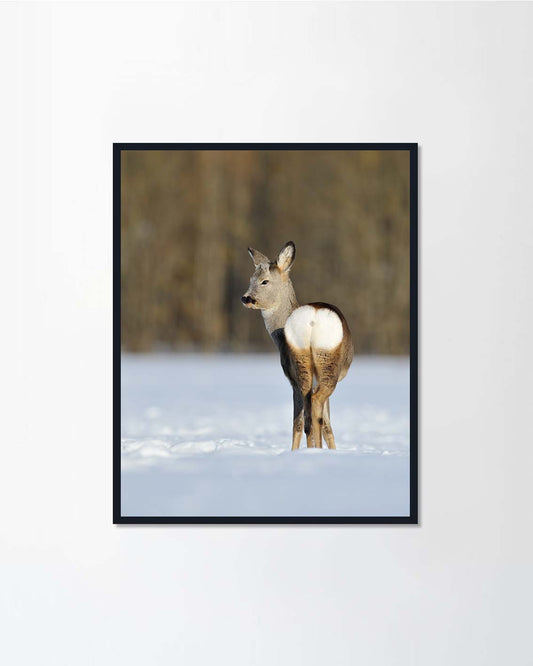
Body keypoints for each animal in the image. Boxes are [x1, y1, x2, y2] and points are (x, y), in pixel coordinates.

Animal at [241, 241, 354, 450]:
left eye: (264, 281)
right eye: (251, 279)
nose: (246, 298)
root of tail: (312, 318)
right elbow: (326, 425)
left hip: (302, 362)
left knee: (306, 418)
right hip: (327, 361)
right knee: (314, 409)